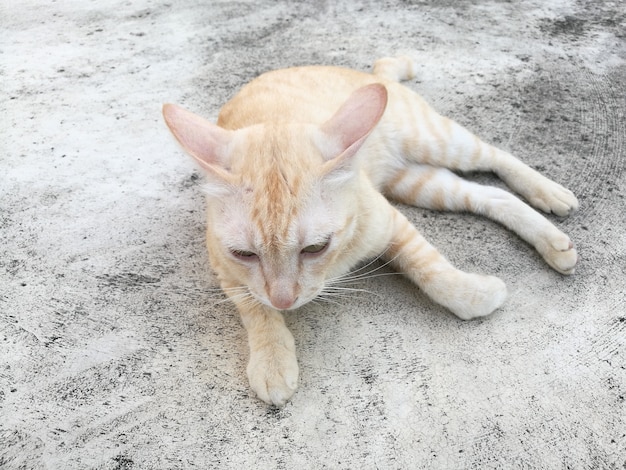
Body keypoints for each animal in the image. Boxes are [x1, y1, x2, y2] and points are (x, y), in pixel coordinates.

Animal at [162, 57, 576, 406]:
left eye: (315, 247)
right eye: (245, 254)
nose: (285, 300)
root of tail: (370, 73)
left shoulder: (389, 221)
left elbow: (431, 270)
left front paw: (473, 295)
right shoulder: (225, 268)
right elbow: (255, 309)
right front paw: (272, 359)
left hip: (437, 141)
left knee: (496, 156)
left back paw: (549, 192)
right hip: (419, 184)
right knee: (488, 194)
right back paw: (554, 242)